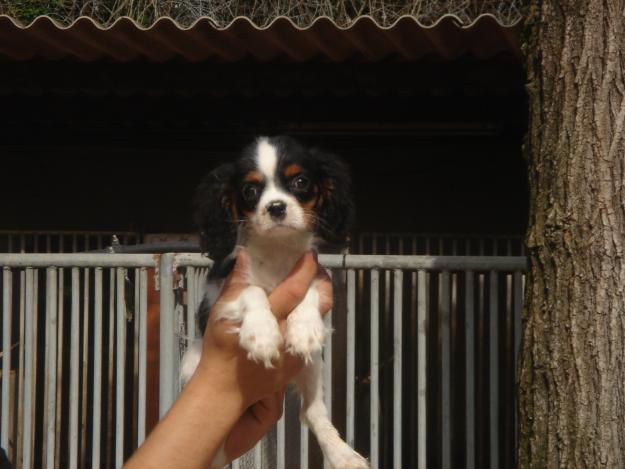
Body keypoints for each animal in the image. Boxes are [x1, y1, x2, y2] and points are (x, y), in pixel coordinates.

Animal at [178, 135, 368, 468]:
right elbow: (253, 291)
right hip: (193, 368)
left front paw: (304, 330)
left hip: (311, 366)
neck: (277, 249)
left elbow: (308, 293)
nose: (276, 207)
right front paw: (262, 335)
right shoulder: (223, 292)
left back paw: (343, 455)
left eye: (301, 181)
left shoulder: (315, 276)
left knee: (312, 413)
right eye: (250, 191)